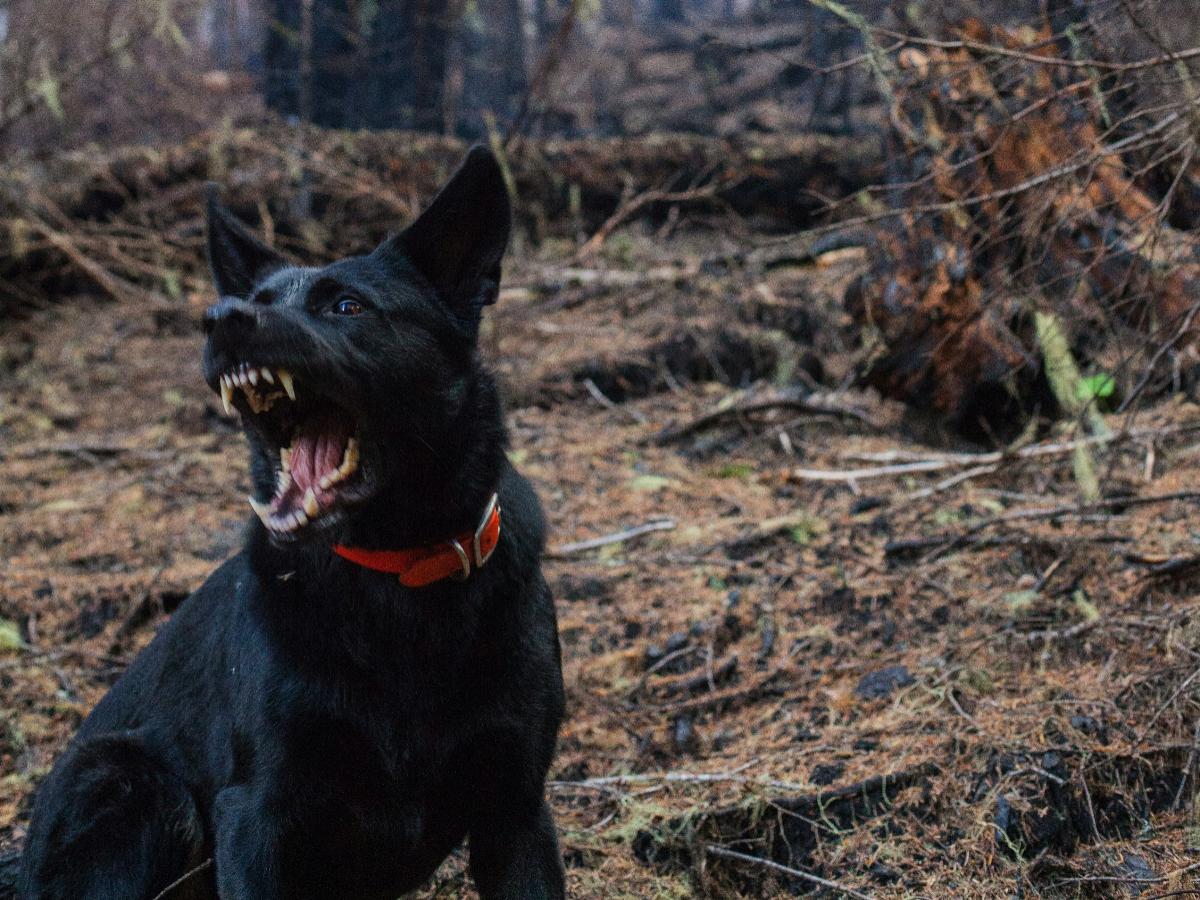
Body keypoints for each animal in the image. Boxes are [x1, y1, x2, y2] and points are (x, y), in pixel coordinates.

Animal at [16, 148, 564, 900]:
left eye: (346, 305)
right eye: (260, 299)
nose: (220, 317)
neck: (396, 575)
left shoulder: (516, 810)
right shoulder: (258, 811)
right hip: (138, 786)